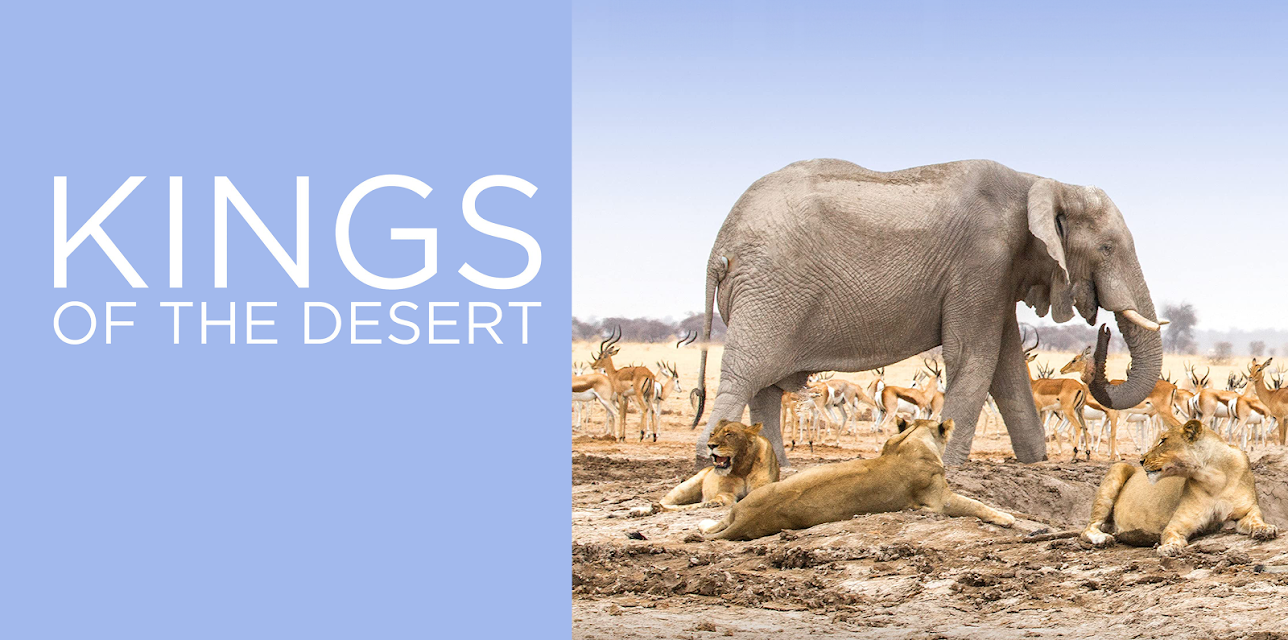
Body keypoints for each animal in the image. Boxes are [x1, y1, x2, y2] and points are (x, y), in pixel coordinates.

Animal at [698, 418, 1015, 540]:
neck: (909, 440)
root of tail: (744, 518)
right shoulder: (941, 500)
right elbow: (975, 505)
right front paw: (1007, 518)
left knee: (717, 523)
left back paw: (703, 525)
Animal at [1081, 419, 1278, 556]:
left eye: (1163, 441)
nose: (1141, 460)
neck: (1215, 477)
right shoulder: (1176, 525)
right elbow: (1171, 536)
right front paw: (1168, 548)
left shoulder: (1247, 510)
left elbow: (1256, 519)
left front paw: (1265, 529)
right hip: (1118, 468)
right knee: (1088, 529)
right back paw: (1103, 539)